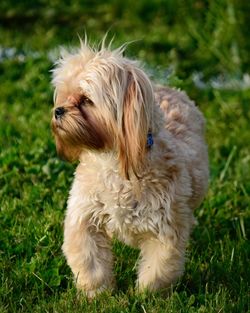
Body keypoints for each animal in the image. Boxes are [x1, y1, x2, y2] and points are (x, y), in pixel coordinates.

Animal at [50, 37, 209, 296]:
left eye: (86, 100)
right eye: (64, 96)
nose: (58, 110)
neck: (113, 162)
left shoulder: (165, 228)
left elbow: (158, 270)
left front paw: (146, 295)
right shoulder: (84, 218)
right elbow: (90, 262)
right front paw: (97, 293)